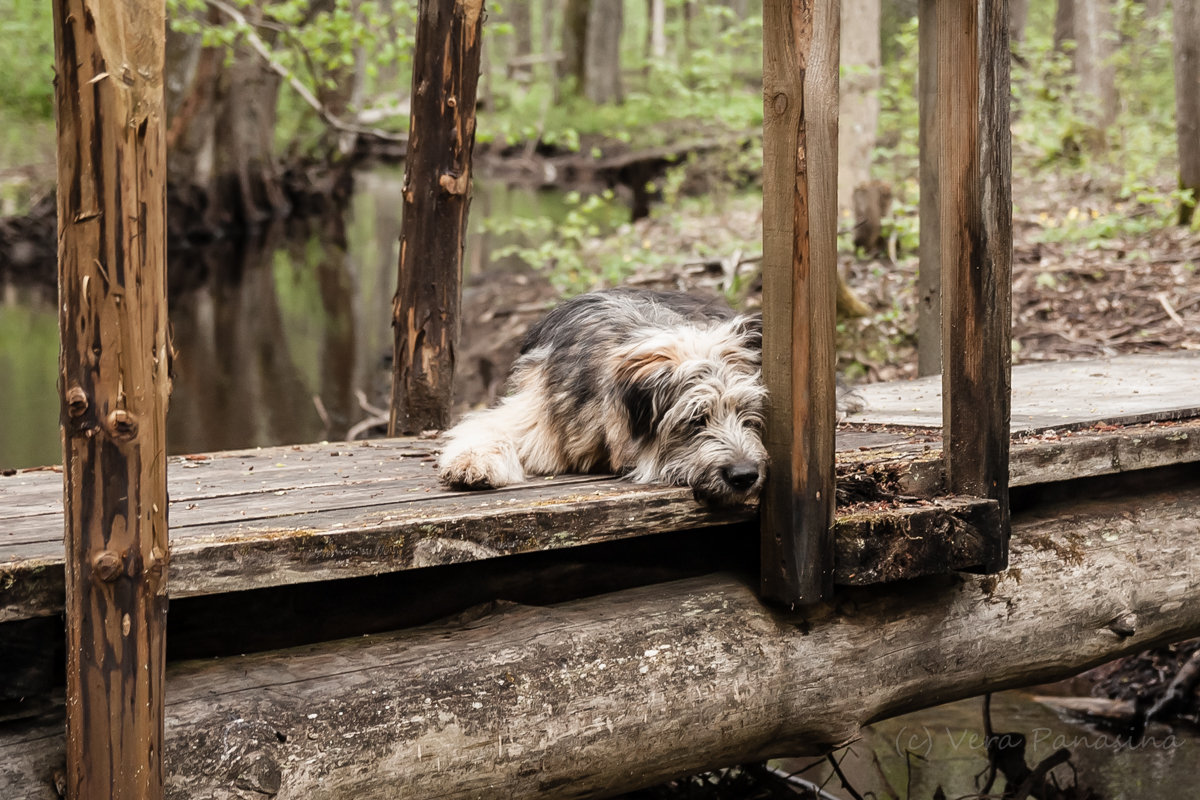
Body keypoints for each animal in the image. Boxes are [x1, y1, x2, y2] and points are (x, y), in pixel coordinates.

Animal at [441, 289, 768, 506]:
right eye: (695, 420)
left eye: (747, 415)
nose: (745, 475)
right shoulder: (539, 412)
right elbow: (489, 428)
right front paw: (472, 462)